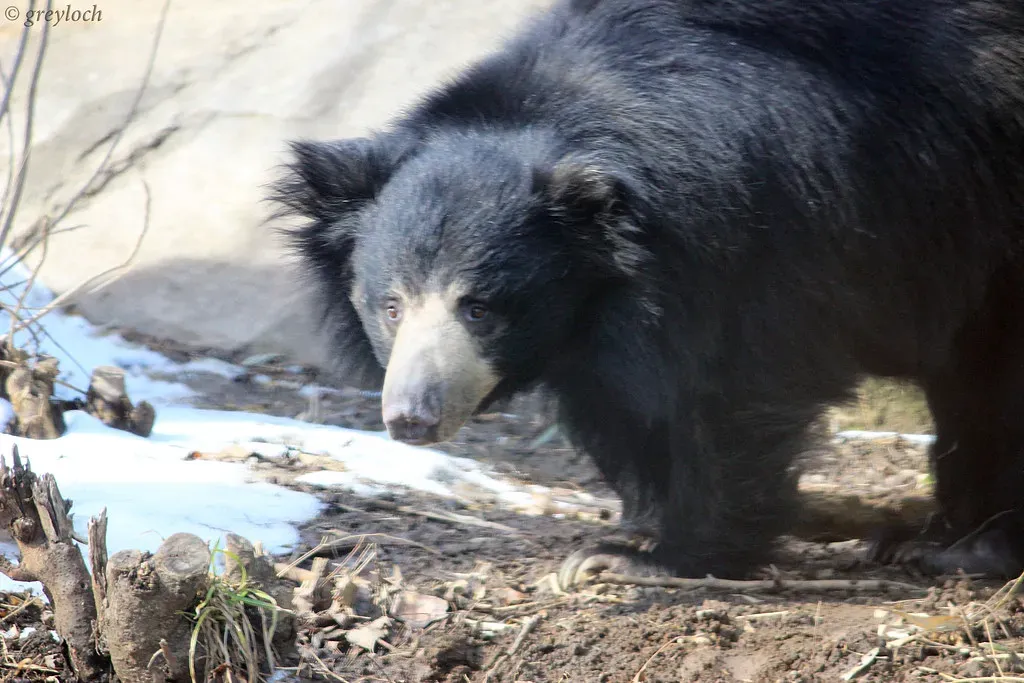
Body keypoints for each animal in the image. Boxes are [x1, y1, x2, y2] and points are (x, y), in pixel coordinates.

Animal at [270, 0, 1024, 585]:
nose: (411, 419)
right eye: (390, 306)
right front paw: (639, 525)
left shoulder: (767, 222)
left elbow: (736, 382)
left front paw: (651, 558)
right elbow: (623, 402)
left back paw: (968, 550)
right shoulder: (598, 318)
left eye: (478, 307)